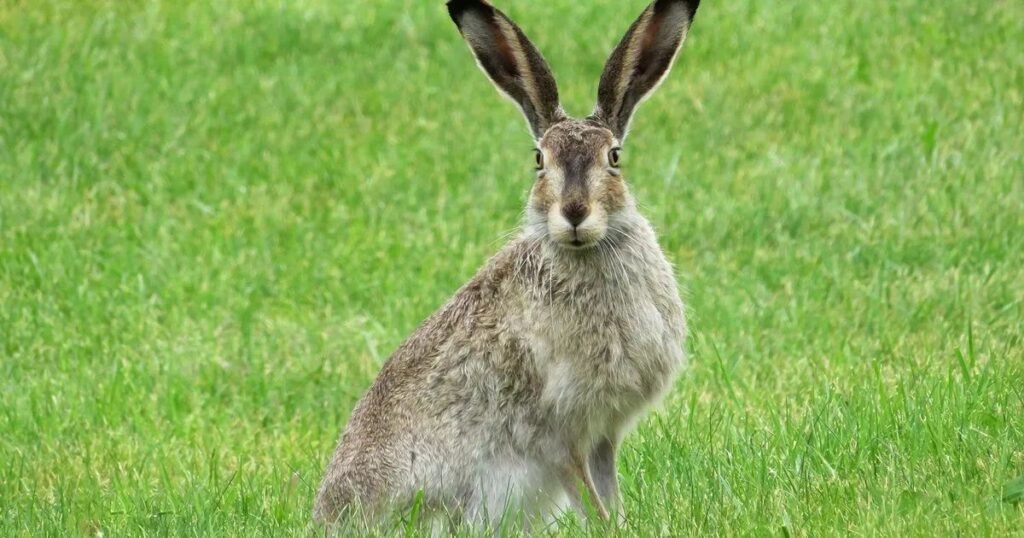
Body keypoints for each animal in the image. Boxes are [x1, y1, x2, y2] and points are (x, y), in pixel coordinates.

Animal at [313, 0, 700, 531]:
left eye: (614, 157)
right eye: (539, 160)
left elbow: (608, 493)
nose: (574, 213)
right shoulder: (558, 434)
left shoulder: (602, 435)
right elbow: (589, 500)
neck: (583, 252)